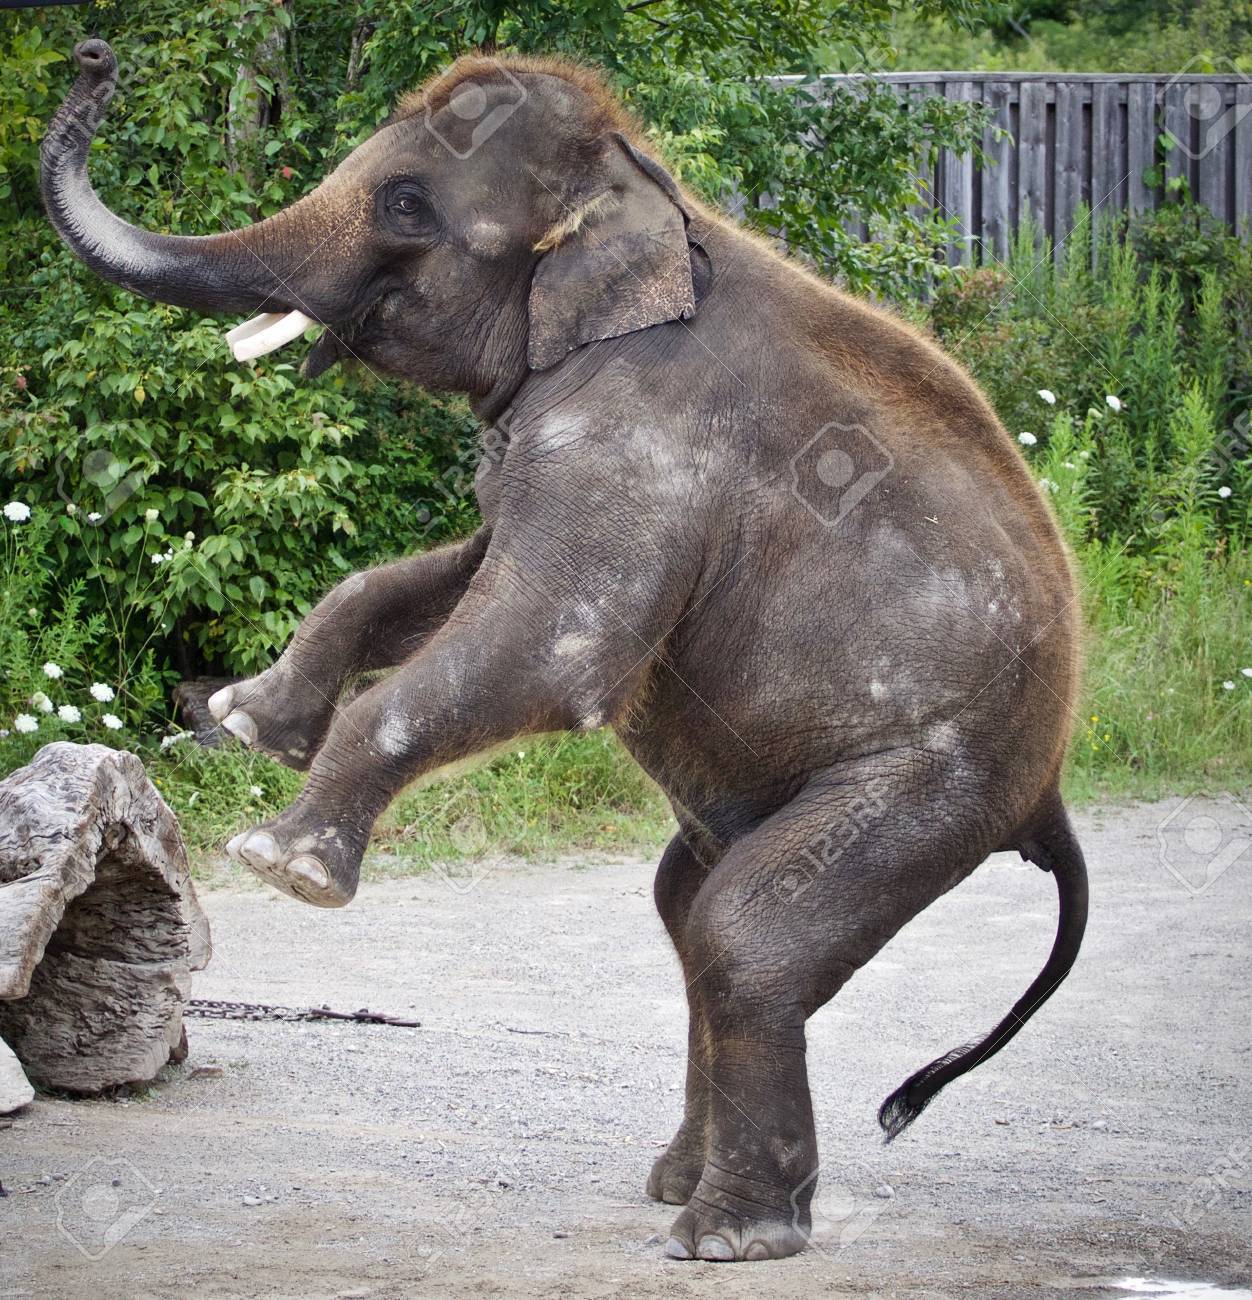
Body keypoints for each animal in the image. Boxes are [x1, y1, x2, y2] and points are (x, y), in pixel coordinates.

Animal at [42, 40, 1090, 1263]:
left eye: (408, 205)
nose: (94, 58)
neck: (645, 195)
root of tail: (1049, 790)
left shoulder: (644, 439)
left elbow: (548, 643)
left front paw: (279, 862)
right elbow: (446, 574)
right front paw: (249, 719)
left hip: (933, 780)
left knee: (743, 934)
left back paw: (720, 1239)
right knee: (688, 912)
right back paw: (675, 1187)